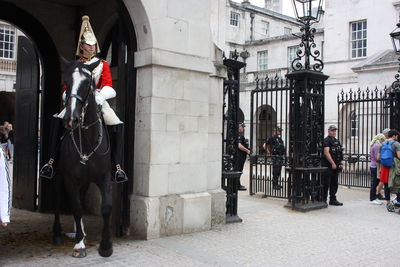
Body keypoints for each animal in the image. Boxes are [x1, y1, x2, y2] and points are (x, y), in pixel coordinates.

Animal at [52, 57, 113, 258]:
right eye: (66, 82)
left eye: (87, 83)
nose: (72, 119)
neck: (87, 140)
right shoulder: (70, 178)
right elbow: (77, 208)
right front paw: (79, 244)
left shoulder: (104, 176)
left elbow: (106, 207)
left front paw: (106, 245)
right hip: (59, 176)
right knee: (59, 201)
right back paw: (58, 234)